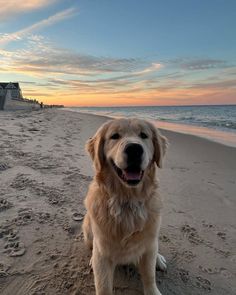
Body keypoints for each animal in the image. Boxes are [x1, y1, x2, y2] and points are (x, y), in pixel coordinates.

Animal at [82, 118, 168, 295]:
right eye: (115, 136)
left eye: (144, 135)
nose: (134, 149)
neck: (128, 199)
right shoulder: (103, 252)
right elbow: (103, 286)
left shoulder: (148, 247)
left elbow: (149, 275)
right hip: (87, 230)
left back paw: (159, 259)